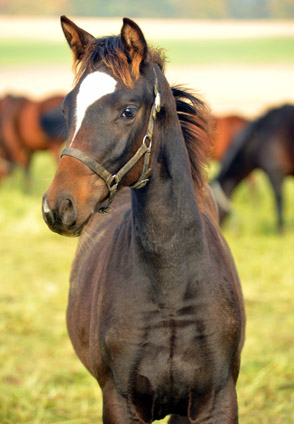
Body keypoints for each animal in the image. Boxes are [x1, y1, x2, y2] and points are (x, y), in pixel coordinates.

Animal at [40, 15, 243, 420]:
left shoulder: (217, 400)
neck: (171, 291)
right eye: (67, 109)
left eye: (128, 111)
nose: (58, 206)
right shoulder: (121, 402)